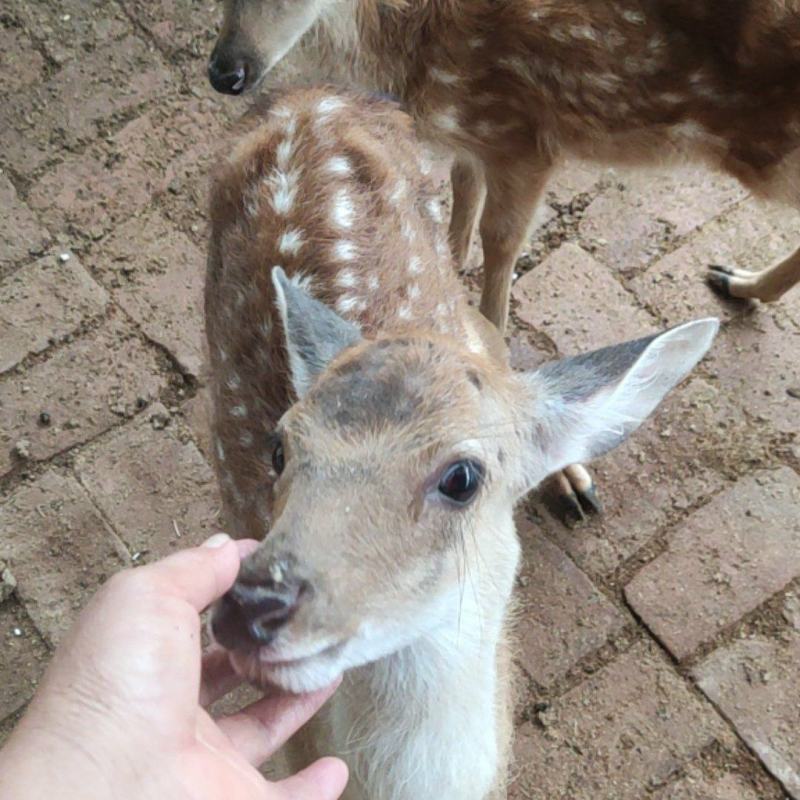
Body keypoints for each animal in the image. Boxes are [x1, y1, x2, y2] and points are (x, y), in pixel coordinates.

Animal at [206, 0, 800, 519]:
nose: (226, 72)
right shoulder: (476, 138)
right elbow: (461, 193)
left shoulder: (522, 133)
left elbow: (500, 247)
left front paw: (564, 474)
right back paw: (738, 282)